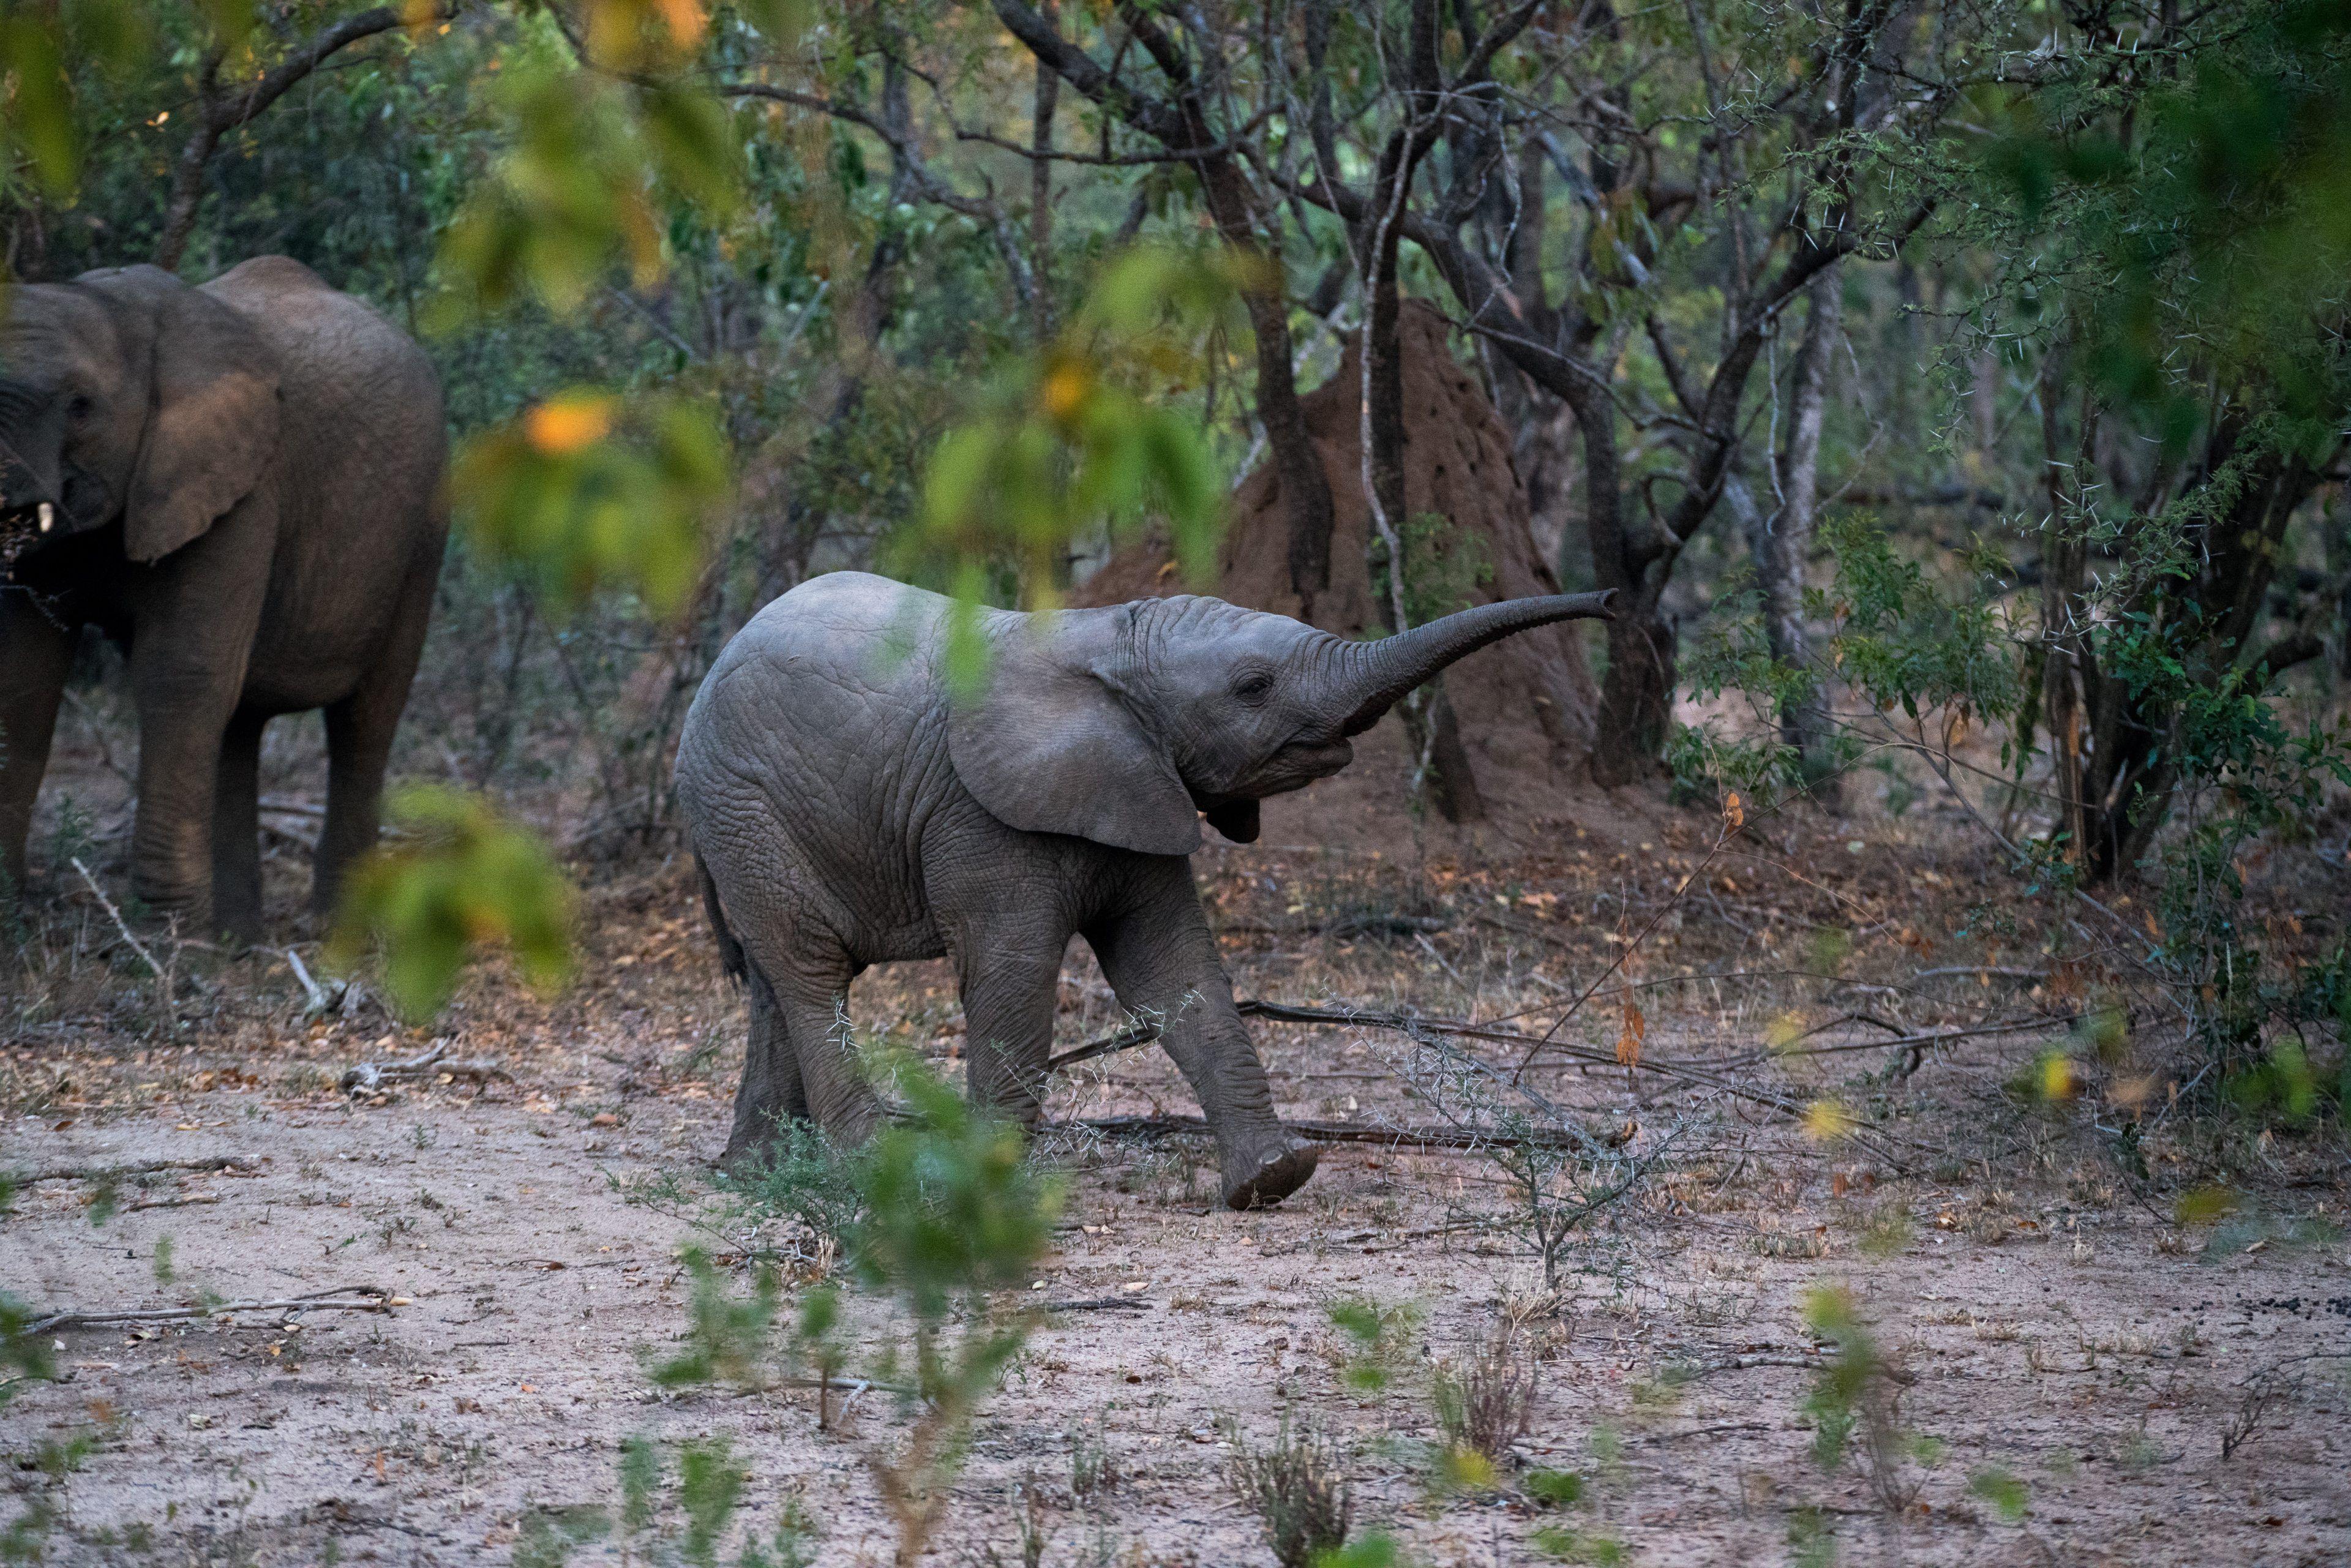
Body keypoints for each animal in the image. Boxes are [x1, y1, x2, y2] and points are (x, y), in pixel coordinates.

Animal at [0, 257, 448, 942]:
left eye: (80, 407)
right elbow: (27, 678)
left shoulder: (242, 489)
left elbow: (178, 673)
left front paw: (166, 941)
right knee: (239, 721)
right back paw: (238, 939)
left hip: (424, 526)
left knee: (365, 717)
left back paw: (333, 933)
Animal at [675, 570, 1613, 1209]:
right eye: (1253, 686)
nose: (1610, 600)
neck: (1111, 642)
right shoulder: (980, 813)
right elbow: (1015, 975)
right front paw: (986, 1194)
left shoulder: (1140, 784)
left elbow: (1172, 969)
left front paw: (1274, 1178)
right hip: (743, 805)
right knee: (810, 969)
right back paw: (874, 1169)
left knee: (776, 980)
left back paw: (755, 1172)